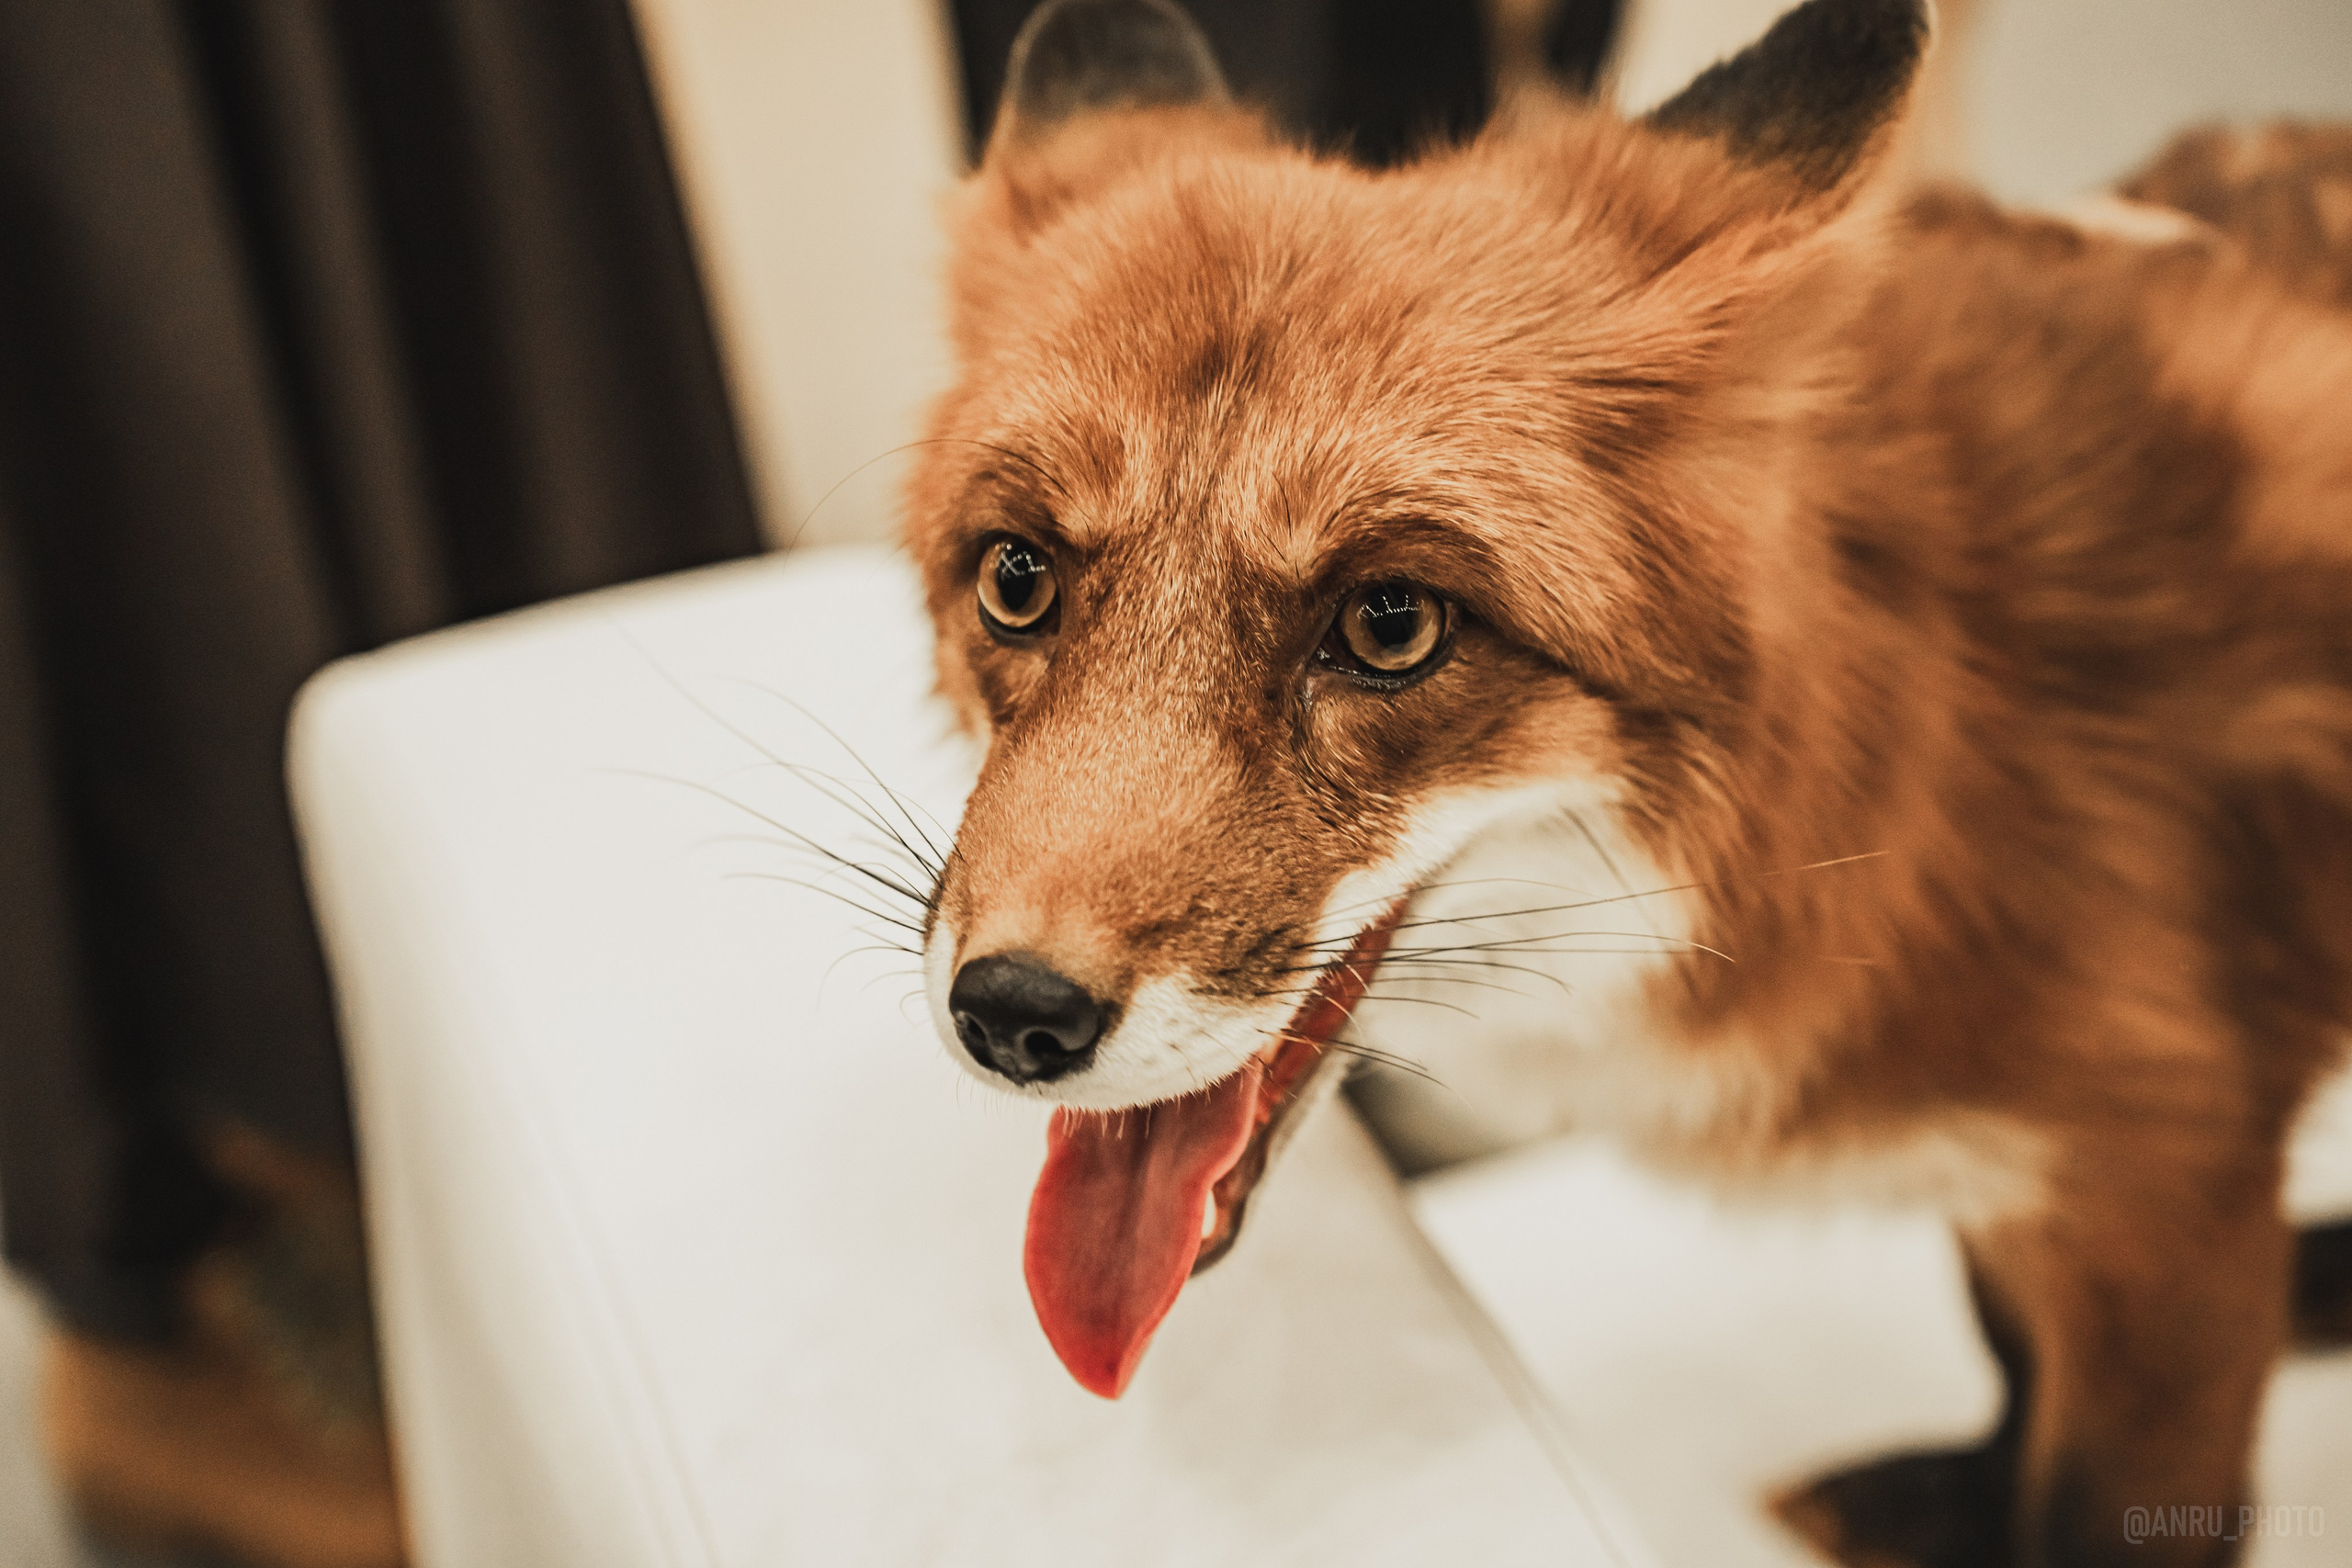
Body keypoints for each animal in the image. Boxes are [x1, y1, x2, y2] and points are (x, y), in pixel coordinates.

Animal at [898, 1, 2352, 1563]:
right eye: (1016, 579)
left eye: (1391, 623)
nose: (1014, 1014)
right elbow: (2008, 1337)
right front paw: (1965, 1492)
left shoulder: (2173, 1191)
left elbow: (2093, 1485)